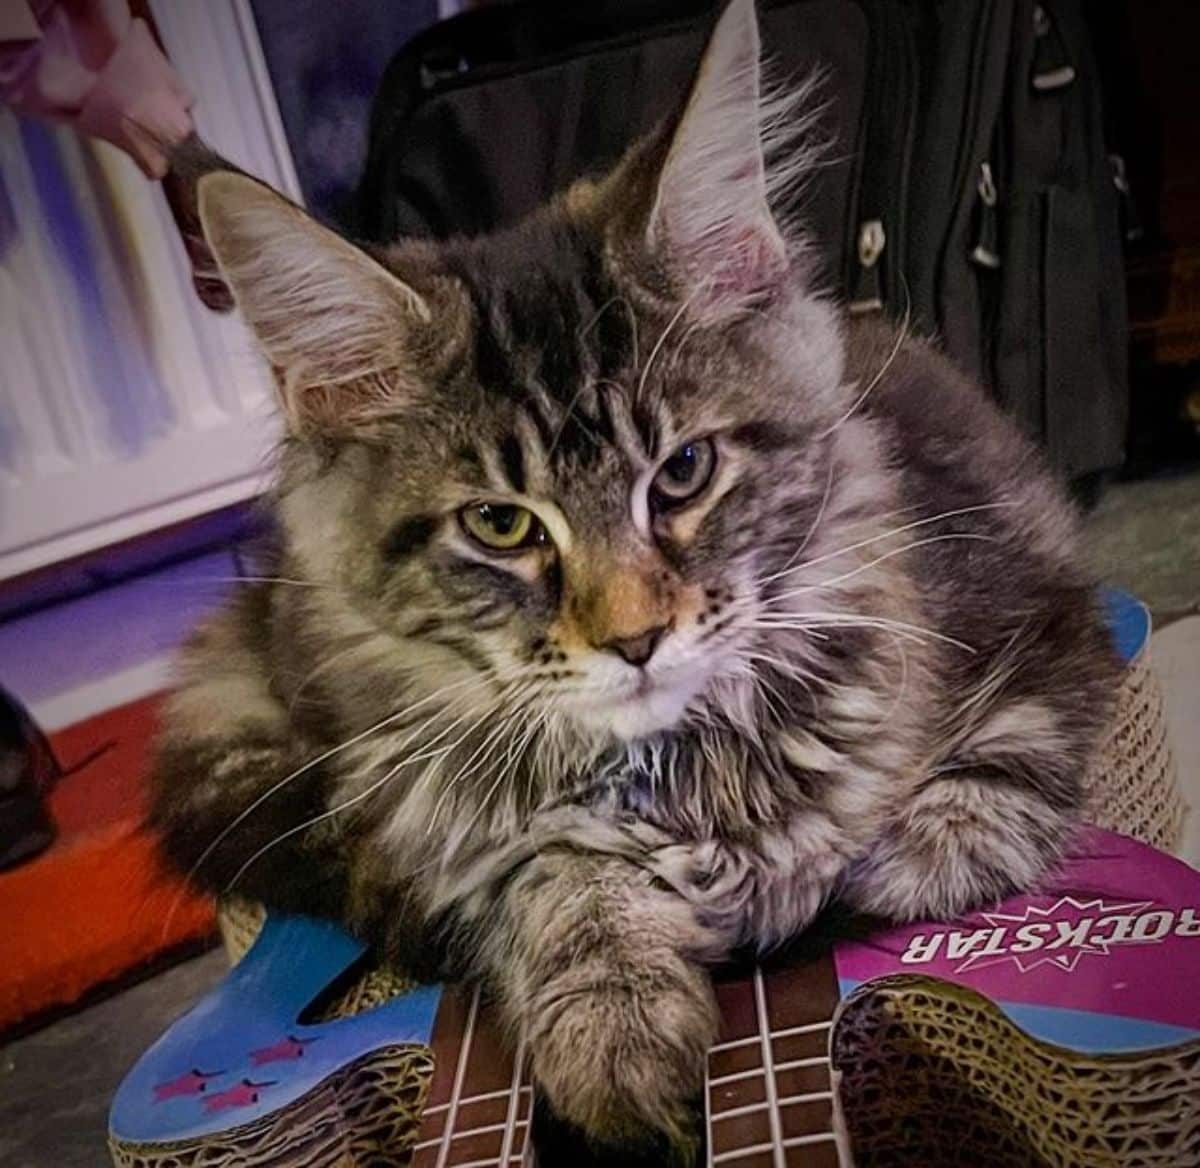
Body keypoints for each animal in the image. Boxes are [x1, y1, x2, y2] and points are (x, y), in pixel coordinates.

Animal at [154, 2, 1118, 1157]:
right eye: (500, 523)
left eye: (685, 471)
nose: (635, 638)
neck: (692, 772)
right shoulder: (457, 829)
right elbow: (562, 882)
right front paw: (616, 1028)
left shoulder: (1037, 602)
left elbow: (988, 786)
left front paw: (882, 866)